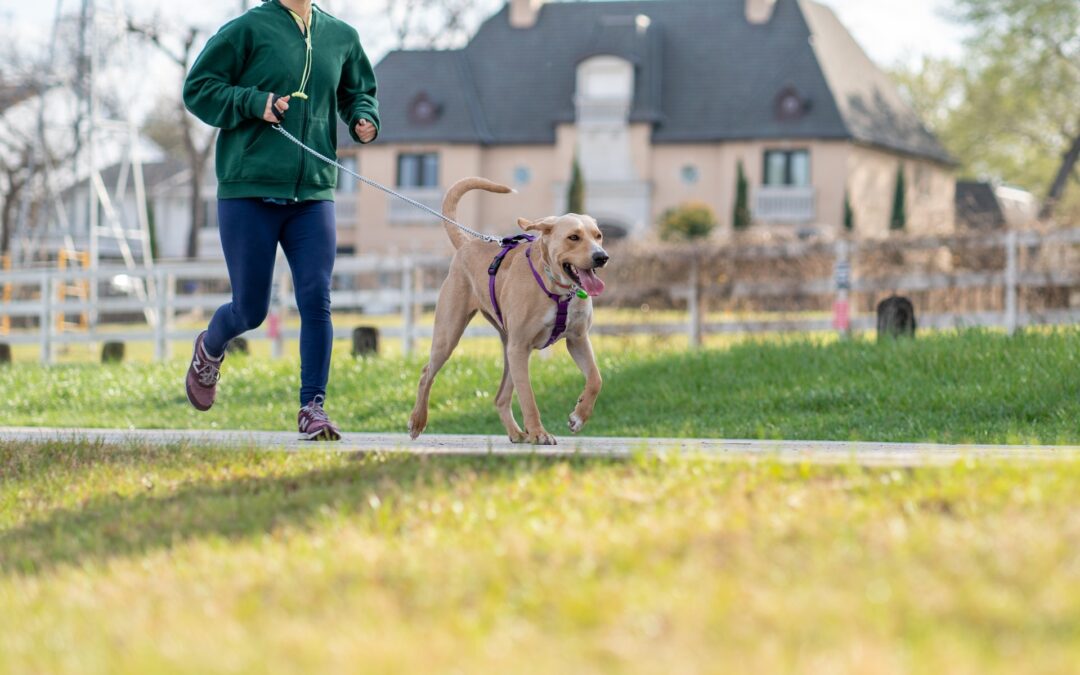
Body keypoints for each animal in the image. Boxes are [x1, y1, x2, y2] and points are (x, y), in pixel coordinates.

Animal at [406, 176, 613, 444]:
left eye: (598, 236)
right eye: (573, 237)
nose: (602, 257)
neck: (557, 289)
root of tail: (467, 244)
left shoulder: (577, 340)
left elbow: (596, 378)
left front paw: (578, 417)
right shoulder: (520, 347)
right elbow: (528, 398)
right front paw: (539, 433)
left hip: (508, 349)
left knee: (500, 397)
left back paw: (516, 432)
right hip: (451, 335)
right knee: (426, 373)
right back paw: (417, 421)